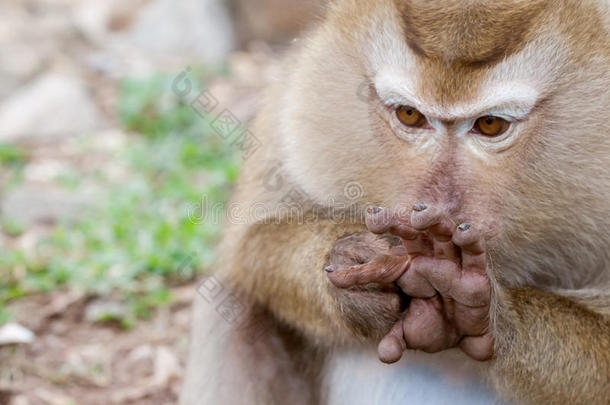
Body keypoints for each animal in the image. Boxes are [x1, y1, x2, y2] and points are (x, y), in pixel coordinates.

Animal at [180, 0, 608, 404]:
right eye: (409, 115)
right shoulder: (300, 92)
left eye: (491, 124)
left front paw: (475, 309)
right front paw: (350, 262)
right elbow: (252, 242)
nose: (435, 211)